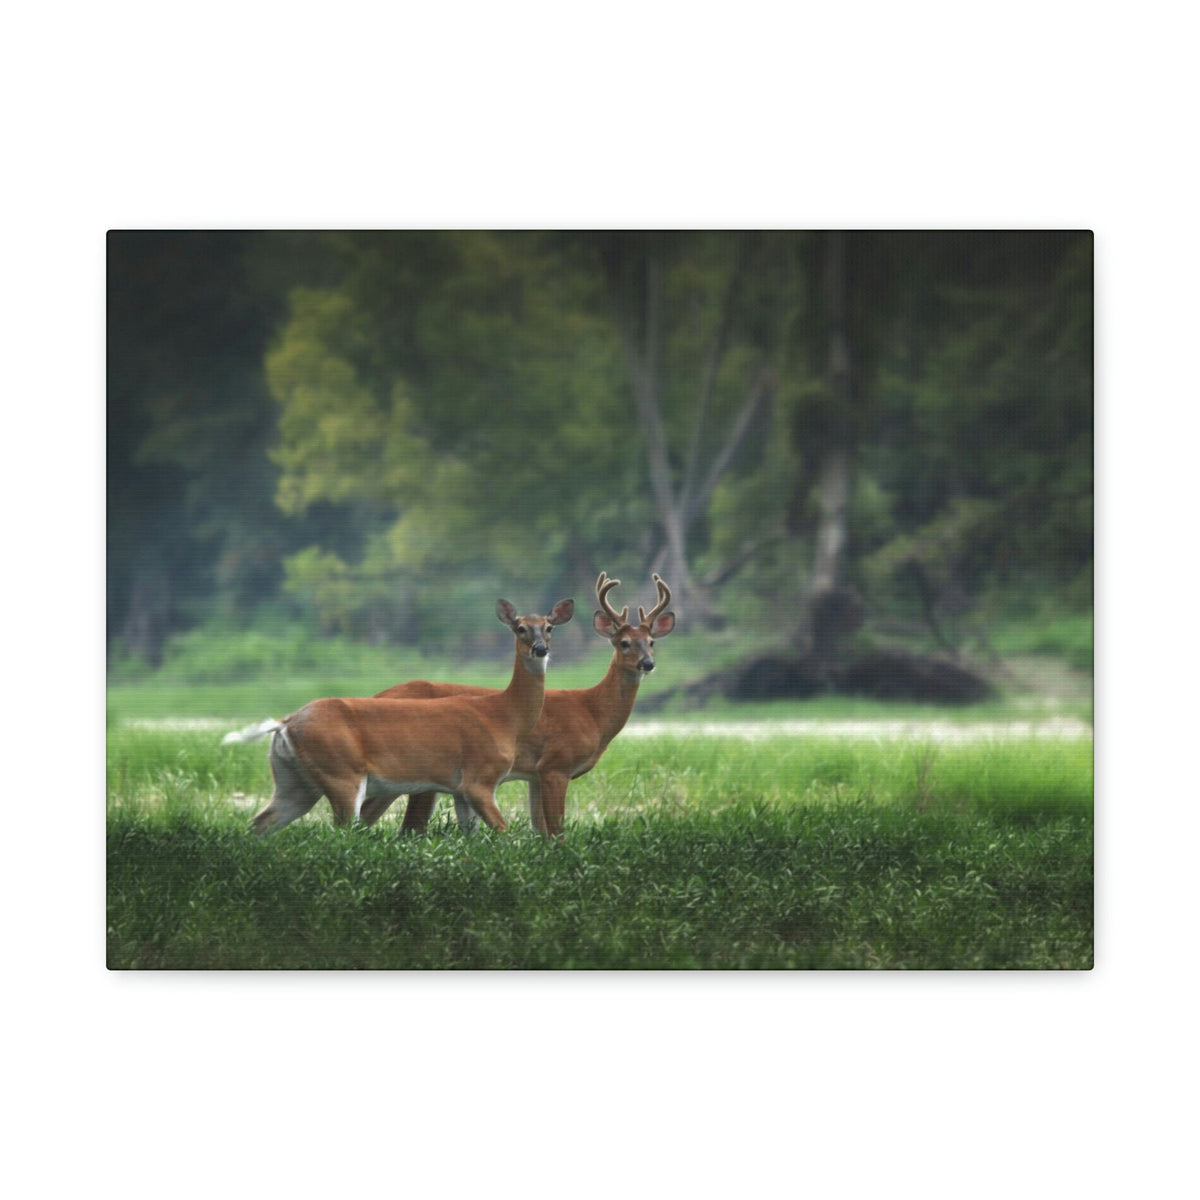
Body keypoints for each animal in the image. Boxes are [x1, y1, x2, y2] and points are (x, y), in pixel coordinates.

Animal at [221, 597, 575, 834]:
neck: (503, 716)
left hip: (294, 781)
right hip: (342, 773)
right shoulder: (479, 779)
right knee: (340, 831)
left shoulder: (460, 789)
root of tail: (284, 724)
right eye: (520, 628)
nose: (540, 649)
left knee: (260, 823)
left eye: (549, 627)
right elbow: (502, 833)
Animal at [359, 573, 675, 838]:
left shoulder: (535, 776)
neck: (592, 712)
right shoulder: (556, 765)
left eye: (651, 642)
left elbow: (541, 831)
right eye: (624, 643)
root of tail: (376, 695)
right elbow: (557, 831)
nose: (647, 664)